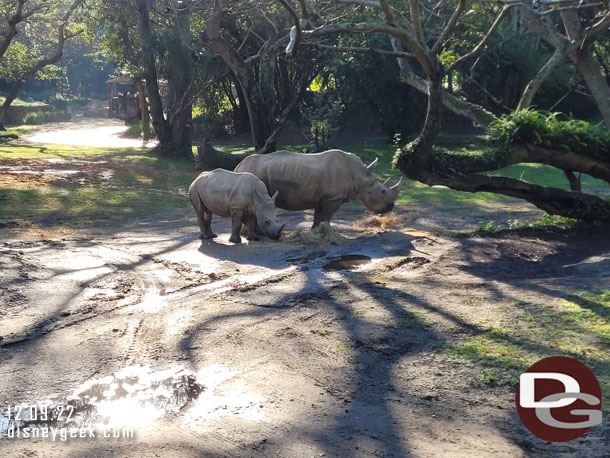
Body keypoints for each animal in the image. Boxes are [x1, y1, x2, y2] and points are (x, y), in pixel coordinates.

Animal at [233, 149, 400, 229]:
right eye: (383, 191)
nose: (391, 206)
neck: (360, 175)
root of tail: (238, 165)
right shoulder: (334, 198)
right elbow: (326, 216)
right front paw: (322, 234)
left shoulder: (325, 198)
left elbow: (320, 216)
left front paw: (317, 232)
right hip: (254, 172)